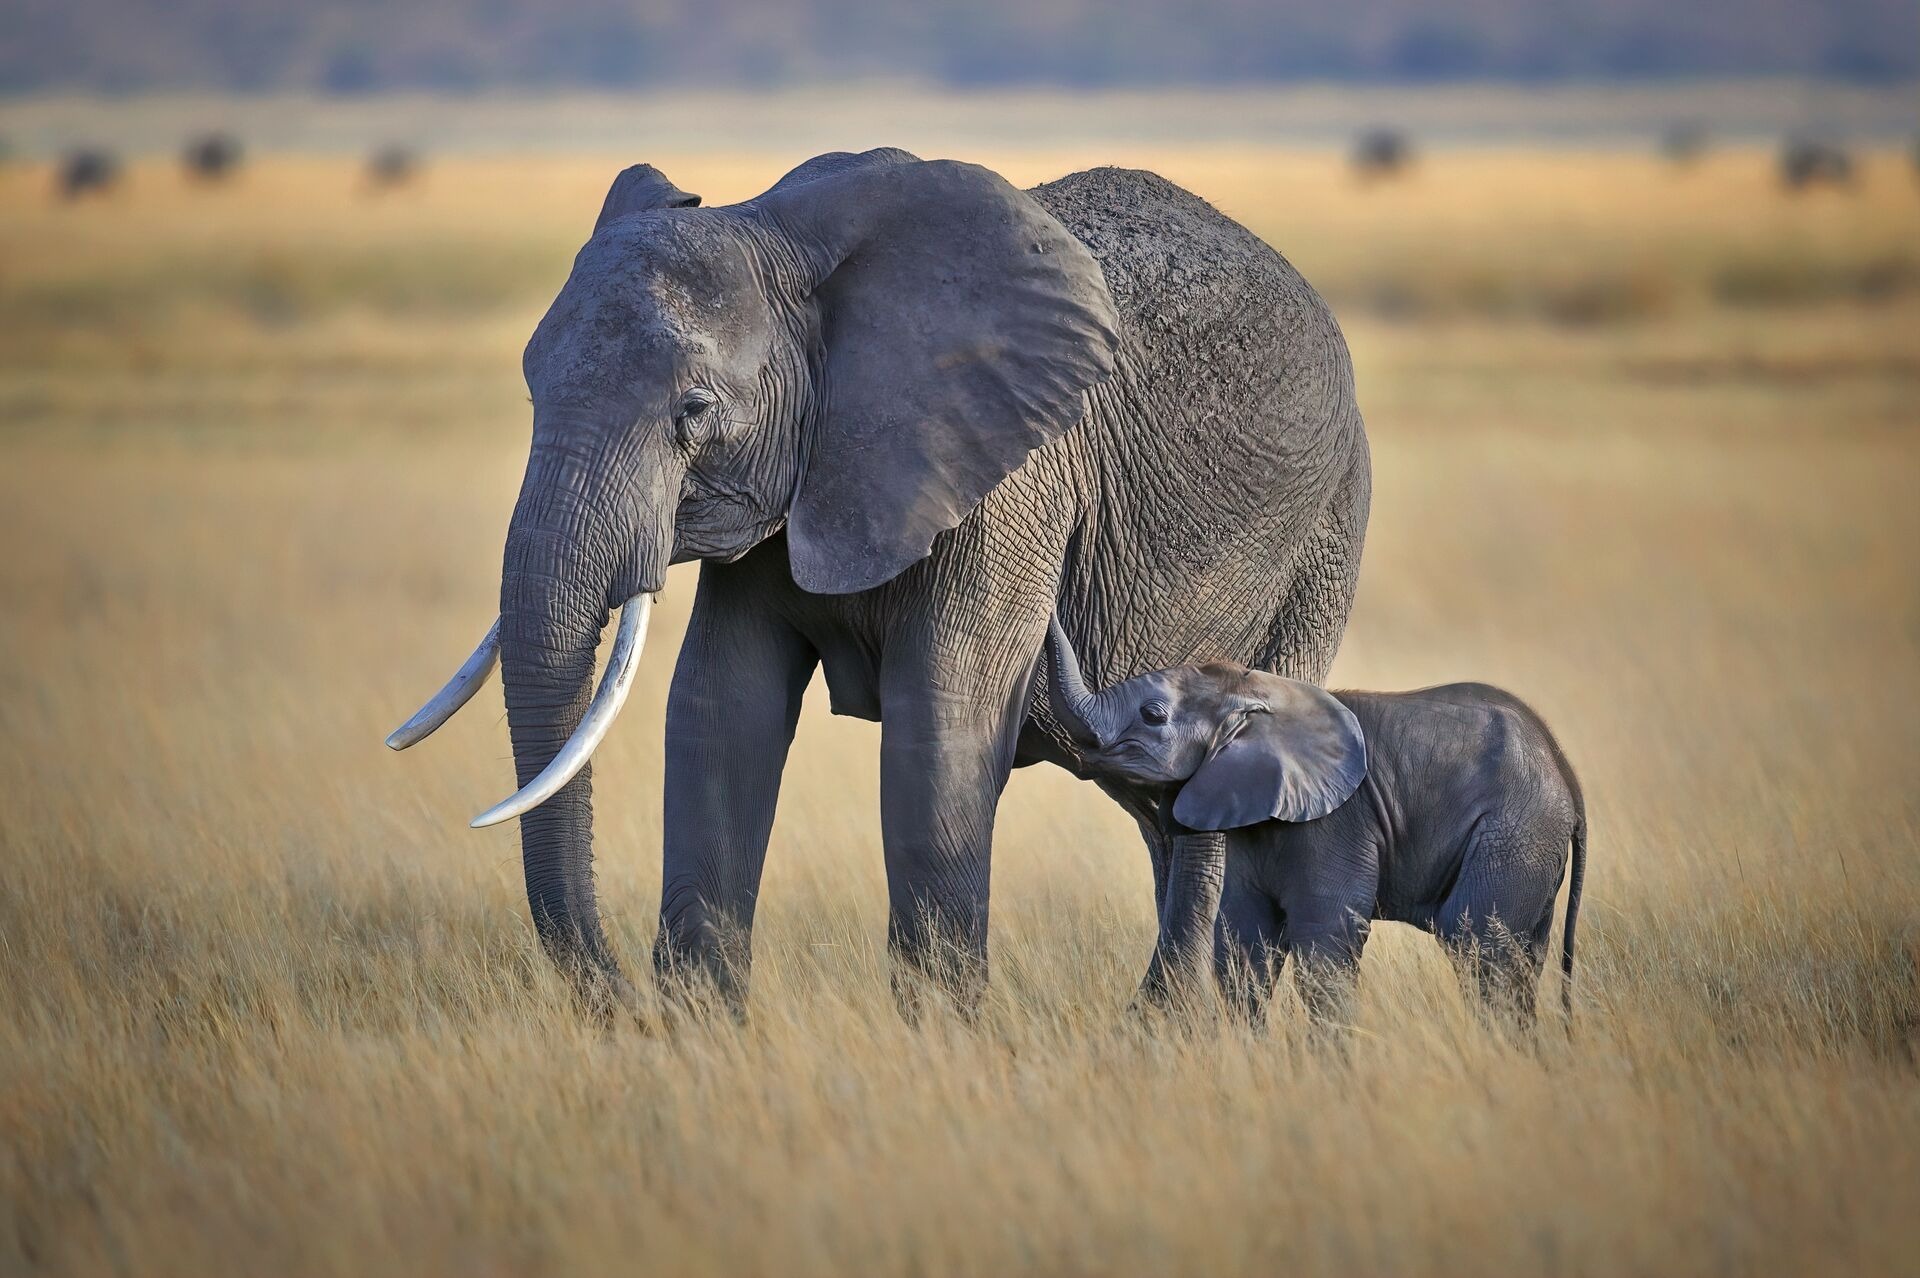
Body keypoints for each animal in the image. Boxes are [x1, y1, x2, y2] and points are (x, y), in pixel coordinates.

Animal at [388, 147, 1371, 1015]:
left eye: (693, 411)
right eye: (529, 392)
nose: (620, 999)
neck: (779, 231)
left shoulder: (1009, 483)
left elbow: (940, 728)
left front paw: (940, 1038)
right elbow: (719, 710)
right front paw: (701, 1032)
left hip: (1323, 543)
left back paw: (1183, 1029)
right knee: (1166, 807)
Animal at [1043, 618, 1587, 1028]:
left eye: (1152, 715)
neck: (1257, 690)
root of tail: (1567, 774)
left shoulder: (1337, 821)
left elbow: (1325, 940)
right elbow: (1243, 943)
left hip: (1514, 831)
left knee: (1476, 944)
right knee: (1522, 957)